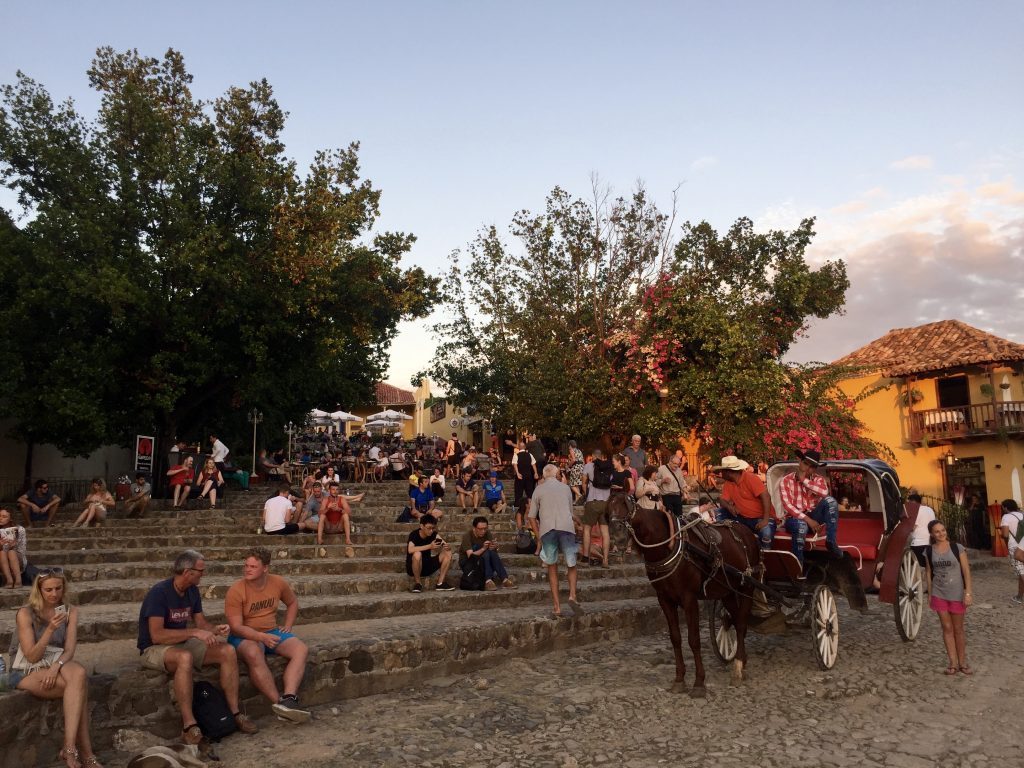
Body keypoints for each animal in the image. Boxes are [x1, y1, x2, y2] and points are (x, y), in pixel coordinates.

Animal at [606, 495, 761, 700]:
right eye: (608, 509)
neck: (668, 545)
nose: (617, 535)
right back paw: (741, 660)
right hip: (727, 591)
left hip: (747, 586)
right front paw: (679, 680)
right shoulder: (665, 600)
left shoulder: (689, 599)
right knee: (734, 620)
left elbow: (693, 640)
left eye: (627, 506)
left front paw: (699, 683)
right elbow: (676, 638)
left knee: (742, 624)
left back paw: (737, 668)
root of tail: (748, 533)